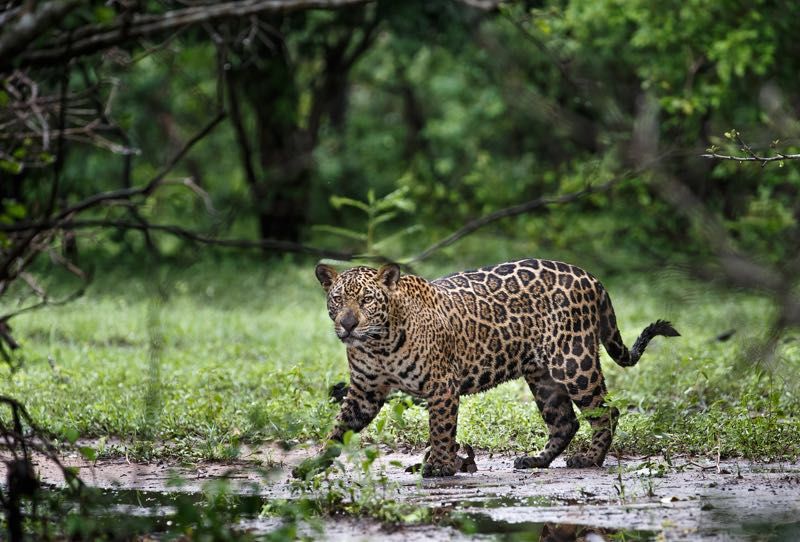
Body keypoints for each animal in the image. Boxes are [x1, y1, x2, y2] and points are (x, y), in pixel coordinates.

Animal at [310, 259, 679, 478]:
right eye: (337, 300)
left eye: (367, 300)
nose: (347, 324)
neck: (379, 344)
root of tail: (590, 276)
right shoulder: (364, 392)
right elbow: (338, 430)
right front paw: (312, 464)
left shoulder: (442, 386)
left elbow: (441, 430)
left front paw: (439, 466)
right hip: (541, 375)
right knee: (565, 421)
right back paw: (536, 460)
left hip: (573, 362)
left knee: (606, 411)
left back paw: (590, 459)